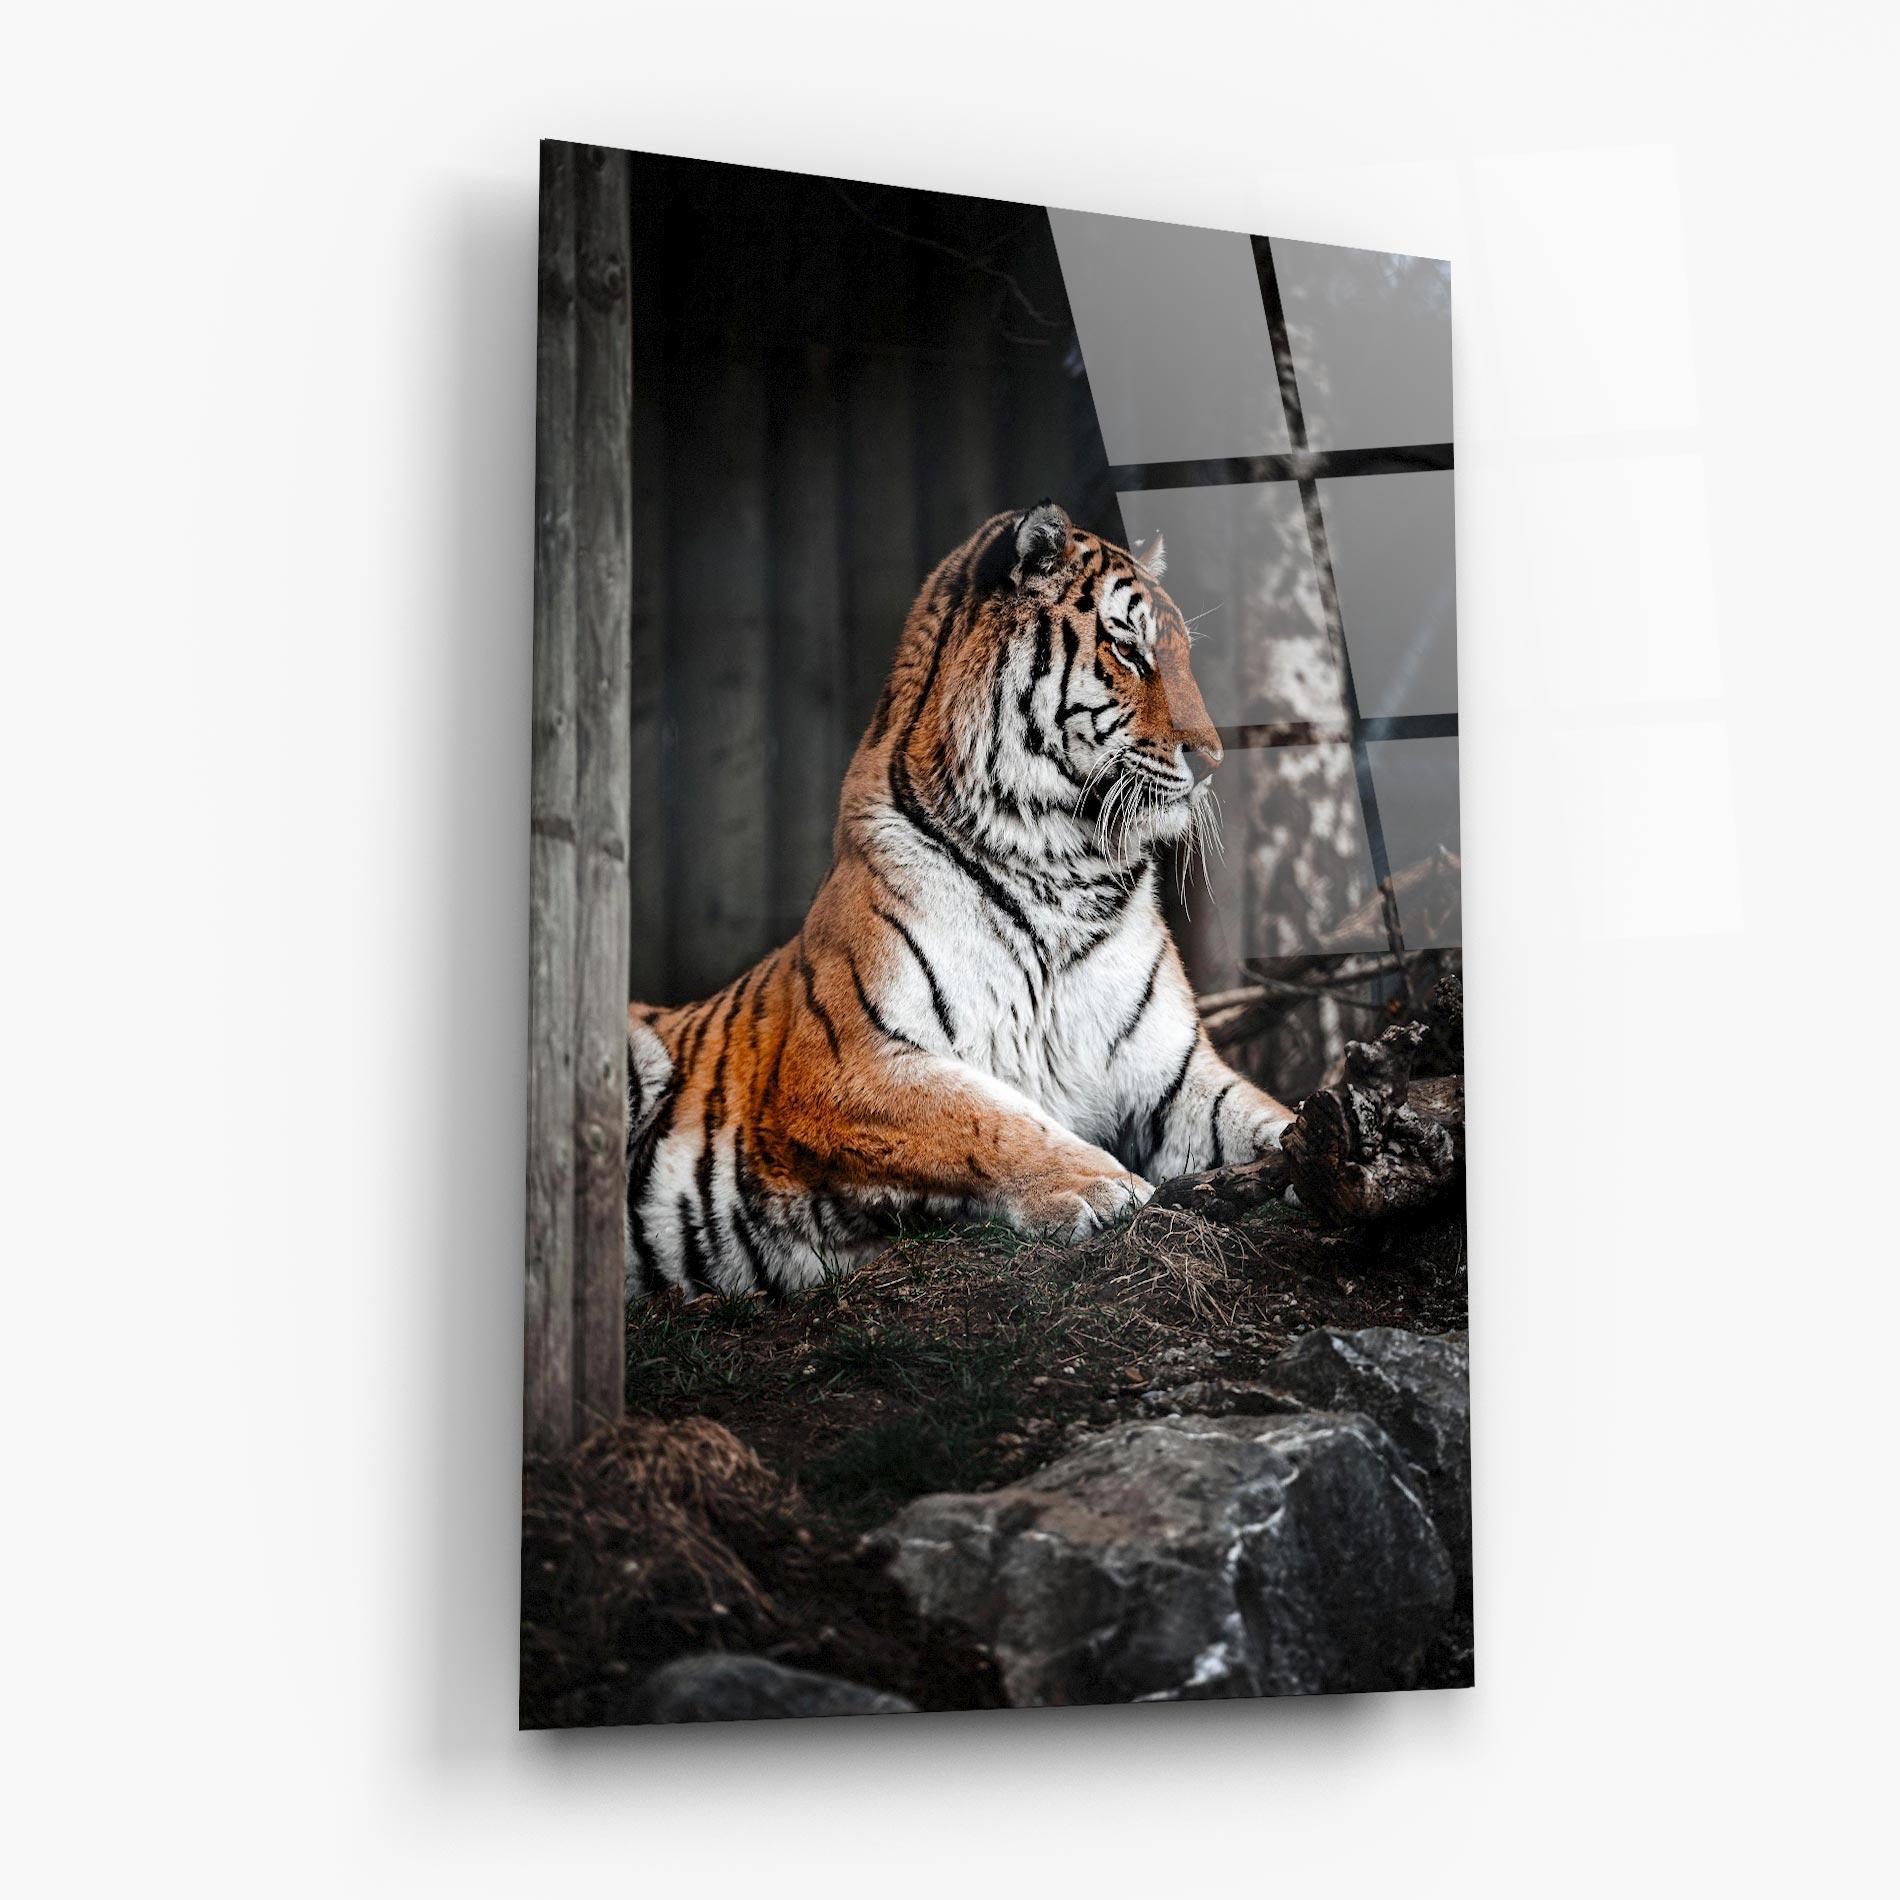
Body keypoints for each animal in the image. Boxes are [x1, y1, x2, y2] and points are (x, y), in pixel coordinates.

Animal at [625, 500, 1295, 1297]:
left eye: (1184, 653)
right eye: (1129, 649)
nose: (1216, 757)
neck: (1065, 869)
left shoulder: (1174, 1076)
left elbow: (1262, 1113)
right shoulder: (845, 1064)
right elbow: (987, 1117)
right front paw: (1100, 1186)